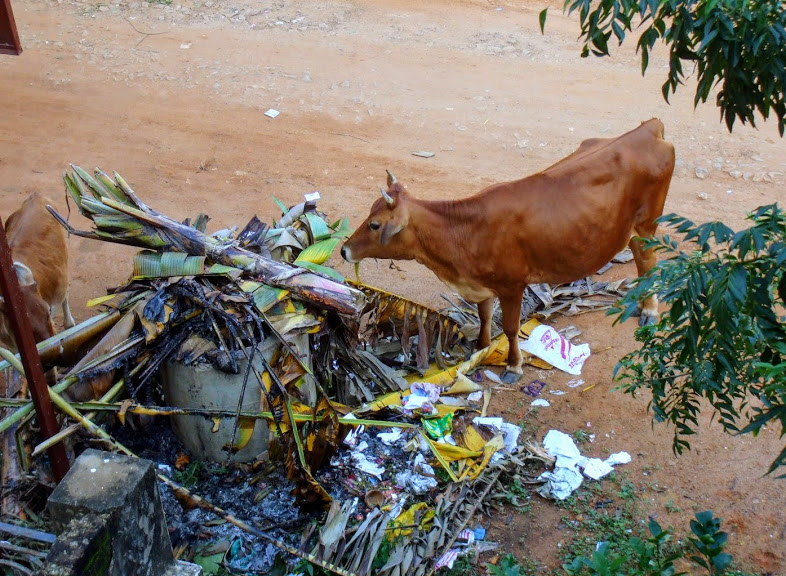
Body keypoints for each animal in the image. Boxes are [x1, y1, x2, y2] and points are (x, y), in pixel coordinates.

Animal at [0, 192, 75, 351]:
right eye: (24, 328)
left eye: (48, 311)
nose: (56, 348)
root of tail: (36, 196)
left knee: (65, 293)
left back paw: (70, 323)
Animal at [341, 118, 675, 382]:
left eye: (374, 224)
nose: (344, 251)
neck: (462, 233)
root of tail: (647, 128)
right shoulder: (480, 285)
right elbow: (485, 315)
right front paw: (480, 348)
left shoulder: (512, 286)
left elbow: (512, 328)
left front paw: (514, 366)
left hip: (647, 227)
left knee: (649, 263)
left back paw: (649, 310)